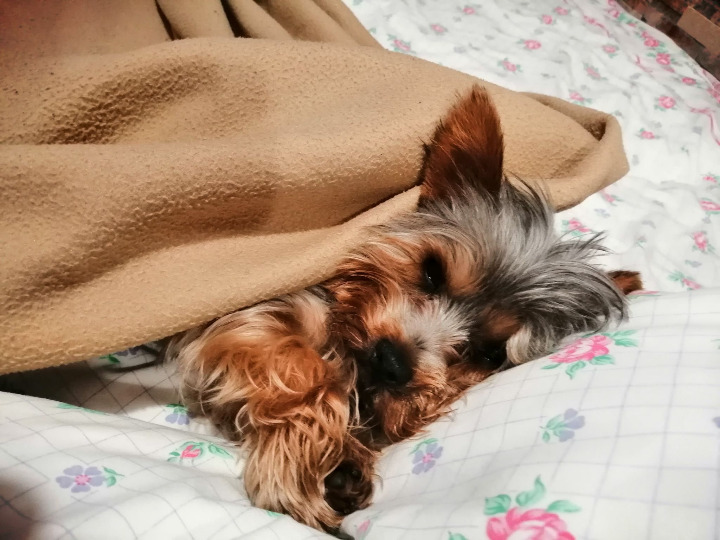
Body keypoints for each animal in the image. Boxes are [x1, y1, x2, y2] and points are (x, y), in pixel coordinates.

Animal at [166, 85, 641, 532]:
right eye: (432, 271)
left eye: (489, 354)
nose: (391, 362)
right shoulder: (247, 315)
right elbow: (305, 367)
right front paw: (299, 466)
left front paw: (344, 464)